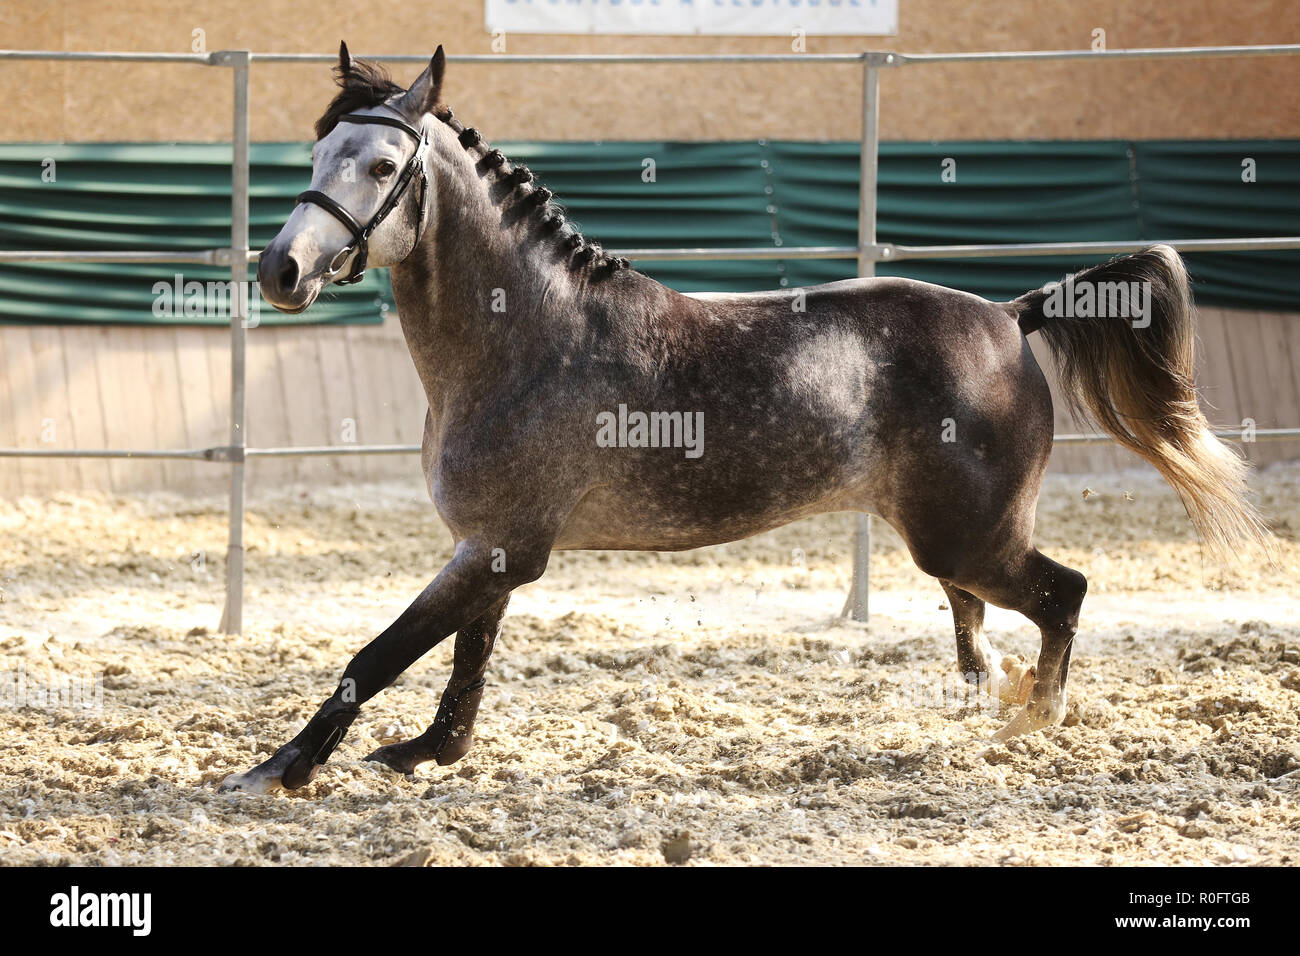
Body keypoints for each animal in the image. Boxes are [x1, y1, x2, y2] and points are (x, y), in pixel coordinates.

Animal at [218, 43, 1268, 794]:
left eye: (381, 163)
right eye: (318, 153)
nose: (280, 269)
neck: (528, 338)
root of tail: (1012, 316)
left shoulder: (497, 547)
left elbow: (381, 651)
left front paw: (276, 768)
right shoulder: (495, 546)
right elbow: (466, 656)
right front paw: (427, 753)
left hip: (970, 536)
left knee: (1064, 592)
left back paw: (1030, 718)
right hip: (944, 535)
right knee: (980, 612)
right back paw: (986, 700)